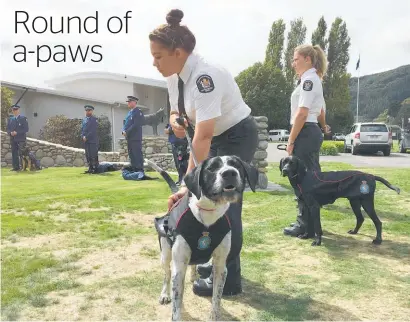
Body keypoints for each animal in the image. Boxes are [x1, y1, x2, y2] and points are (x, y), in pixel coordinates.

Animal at [149, 156, 258, 320]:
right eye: (211, 168)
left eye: (236, 165)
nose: (229, 173)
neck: (208, 212)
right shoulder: (178, 269)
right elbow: (176, 306)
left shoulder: (220, 266)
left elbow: (216, 298)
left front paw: (215, 316)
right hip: (166, 255)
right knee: (166, 275)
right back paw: (164, 294)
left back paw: (193, 275)